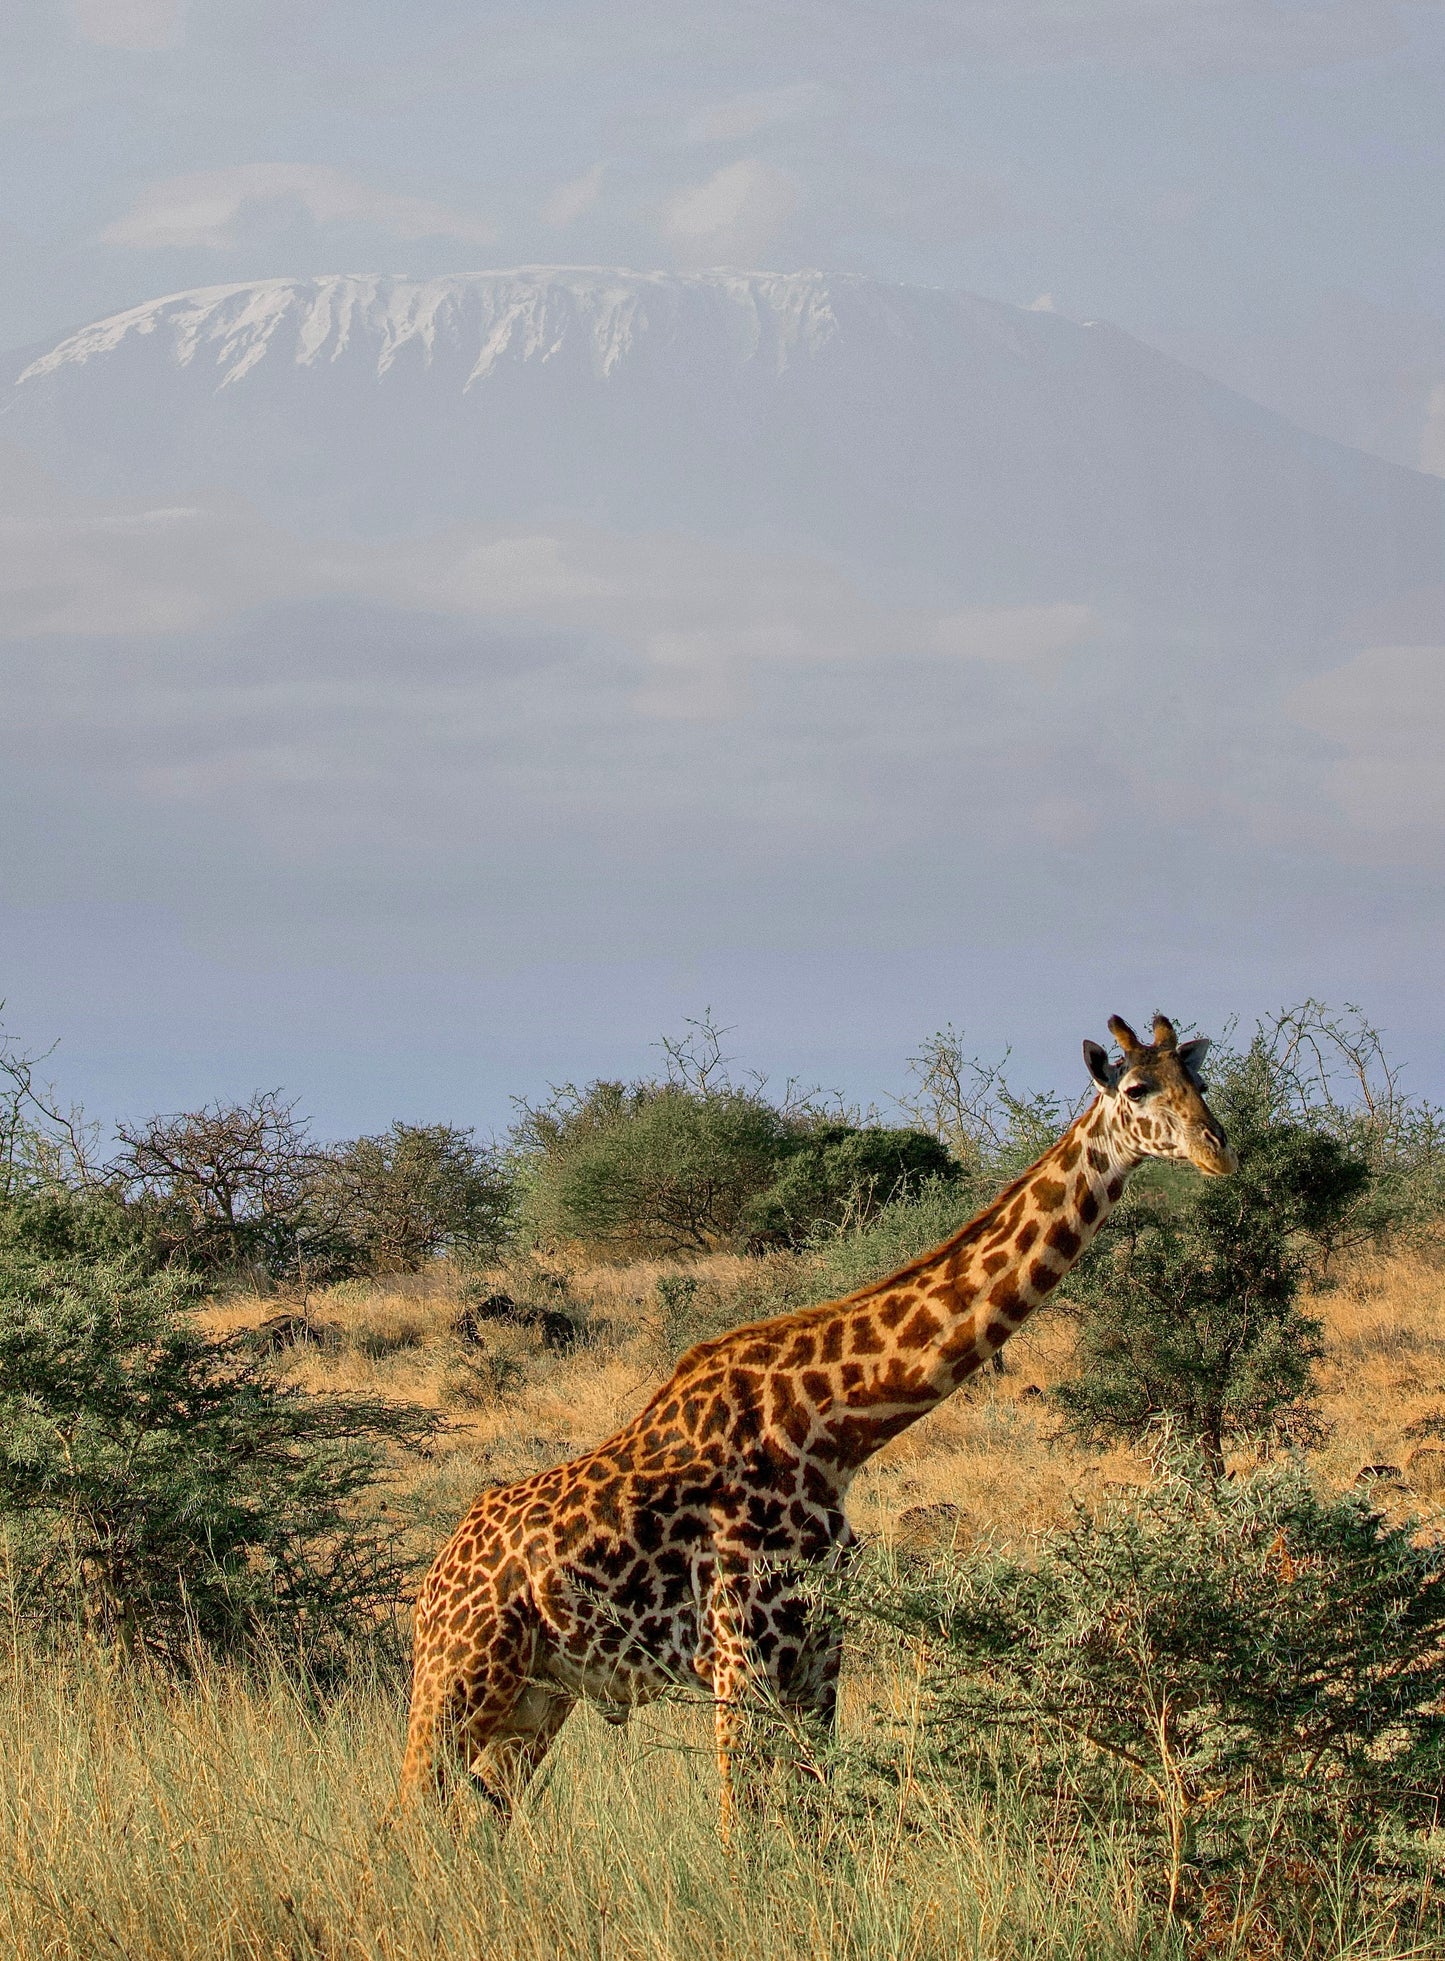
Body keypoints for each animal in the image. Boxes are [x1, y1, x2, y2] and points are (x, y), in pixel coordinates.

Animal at [399, 1013, 1235, 1832]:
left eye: (1197, 1077)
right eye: (1136, 1087)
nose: (1217, 1148)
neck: (833, 1430)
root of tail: (434, 1577)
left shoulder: (818, 1657)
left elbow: (815, 1827)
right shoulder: (741, 1657)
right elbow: (741, 1837)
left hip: (538, 1696)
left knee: (477, 1822)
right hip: (457, 1678)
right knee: (408, 1813)